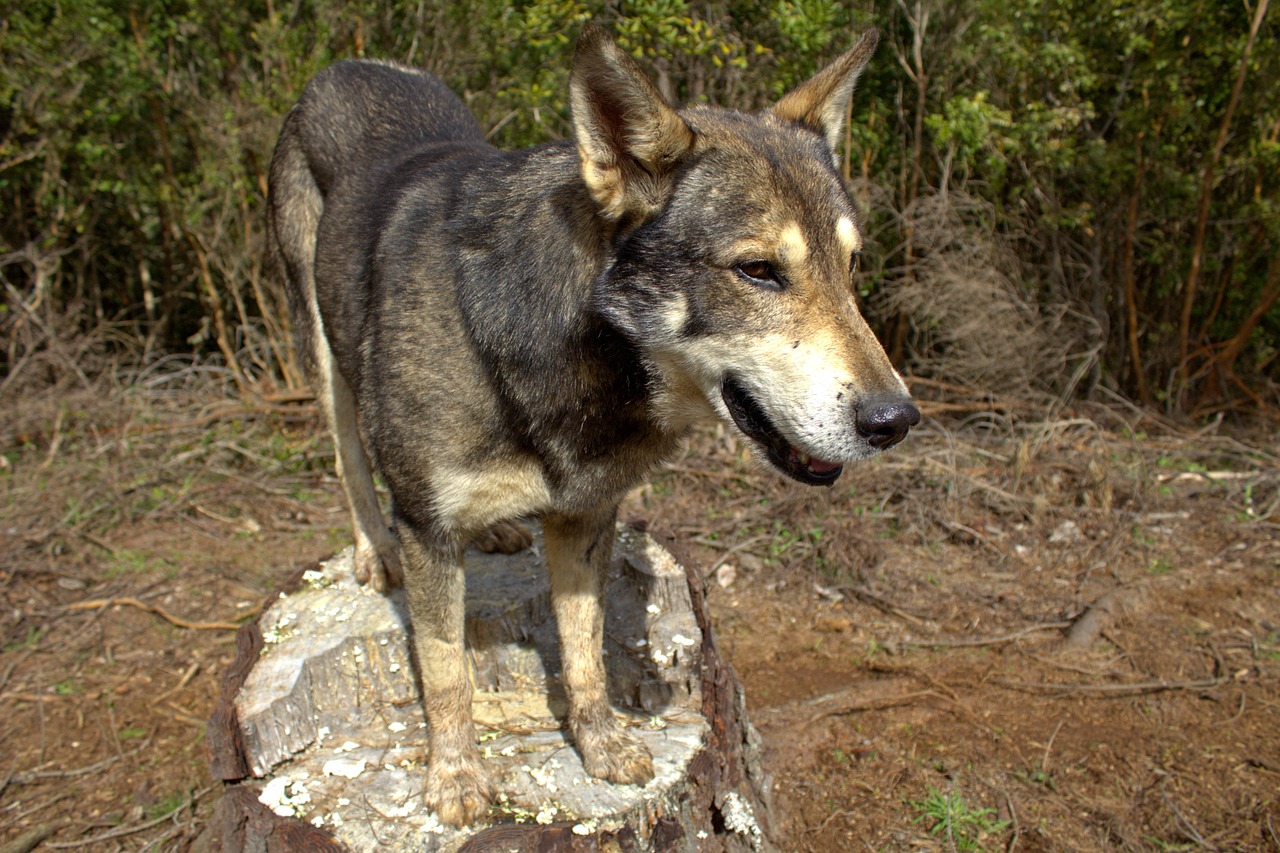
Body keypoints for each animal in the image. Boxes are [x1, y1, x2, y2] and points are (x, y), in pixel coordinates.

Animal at [267, 24, 911, 824]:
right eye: (758, 270)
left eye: (851, 267)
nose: (898, 419)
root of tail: (349, 66)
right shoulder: (427, 528)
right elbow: (446, 671)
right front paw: (455, 779)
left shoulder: (587, 517)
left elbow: (584, 652)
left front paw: (601, 745)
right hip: (324, 357)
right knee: (348, 459)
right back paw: (373, 551)